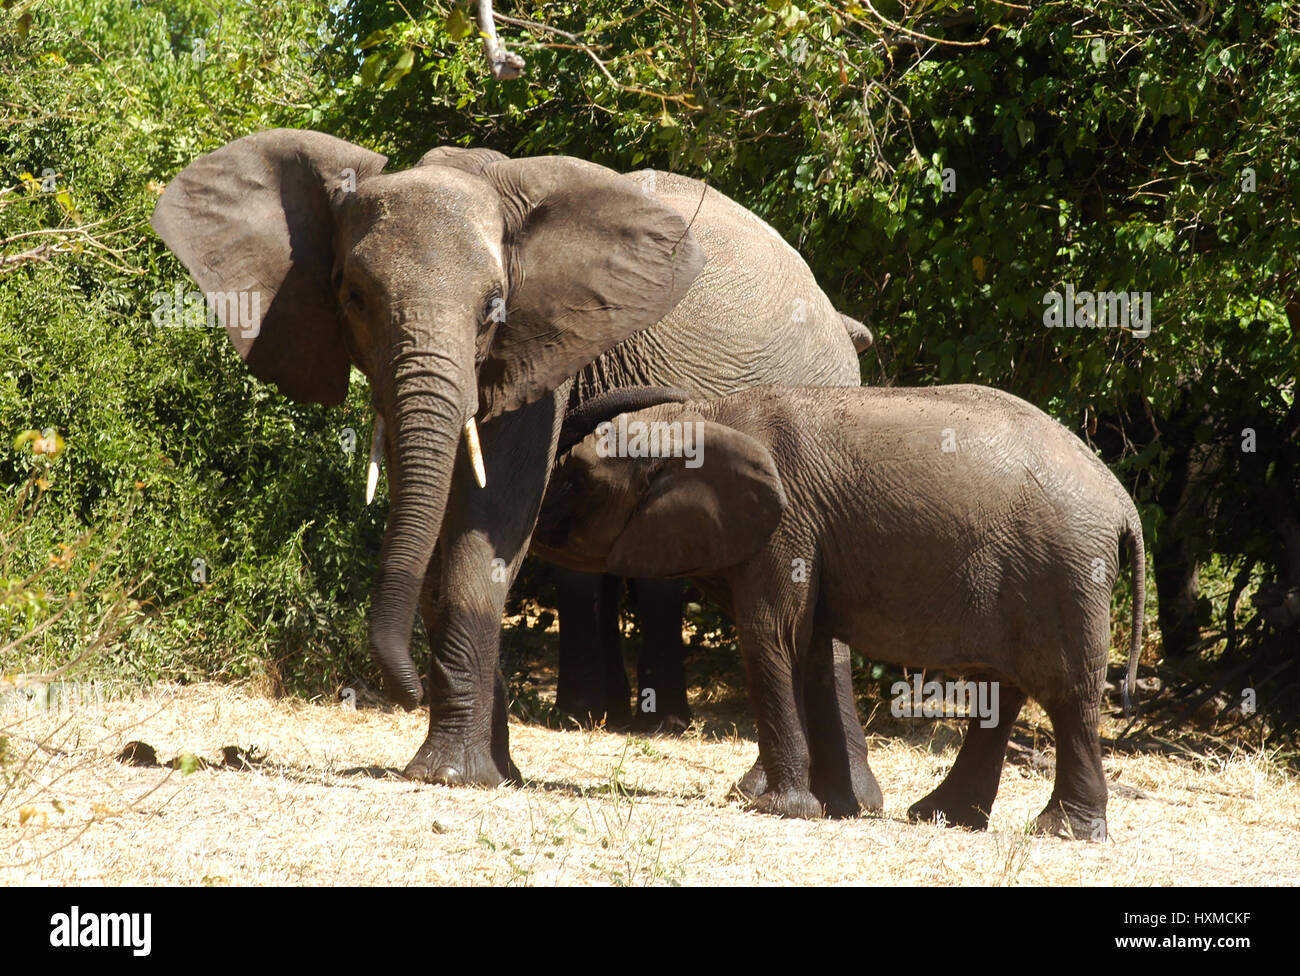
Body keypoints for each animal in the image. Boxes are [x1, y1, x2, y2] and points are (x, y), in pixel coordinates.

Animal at [149, 128, 873, 795]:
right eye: (352, 297)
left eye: (492, 307)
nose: (405, 690)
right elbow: (442, 526)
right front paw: (490, 773)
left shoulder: (545, 347)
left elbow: (491, 515)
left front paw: (450, 776)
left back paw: (808, 796)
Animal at [533, 384, 1144, 842]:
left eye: (577, 479)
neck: (708, 417)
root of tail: (1123, 503)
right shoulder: (808, 535)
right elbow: (813, 651)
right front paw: (834, 808)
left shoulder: (787, 525)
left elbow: (771, 636)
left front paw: (781, 809)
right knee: (1004, 689)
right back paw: (942, 816)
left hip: (1065, 572)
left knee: (1066, 694)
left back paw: (1062, 831)